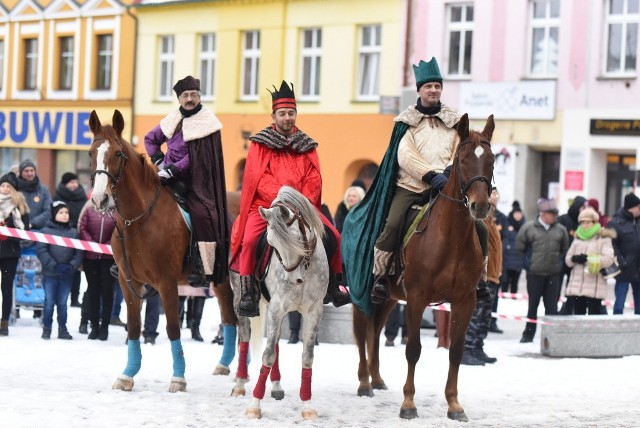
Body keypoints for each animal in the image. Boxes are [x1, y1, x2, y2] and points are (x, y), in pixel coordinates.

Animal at [88, 109, 238, 392]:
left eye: (118, 154)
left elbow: (172, 328)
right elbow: (133, 328)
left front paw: (178, 378)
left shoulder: (167, 283)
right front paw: (127, 375)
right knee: (231, 318)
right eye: (92, 152)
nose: (100, 199)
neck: (136, 220)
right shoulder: (128, 282)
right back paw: (226, 366)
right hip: (222, 281)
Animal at [229, 186, 330, 420]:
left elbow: (307, 357)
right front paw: (254, 406)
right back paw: (239, 384)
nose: (293, 280)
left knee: (274, 343)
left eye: (297, 239)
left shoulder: (314, 311)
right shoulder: (277, 307)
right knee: (245, 338)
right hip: (240, 299)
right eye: (272, 244)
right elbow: (267, 356)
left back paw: (275, 386)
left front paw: (308, 406)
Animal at [352, 113, 492, 422]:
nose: (480, 207)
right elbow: (413, 350)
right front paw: (408, 404)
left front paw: (454, 404)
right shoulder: (417, 298)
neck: (451, 239)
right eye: (462, 159)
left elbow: (456, 351)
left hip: (390, 298)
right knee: (361, 331)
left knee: (375, 330)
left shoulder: (465, 301)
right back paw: (364, 382)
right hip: (360, 292)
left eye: (490, 160)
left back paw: (377, 379)